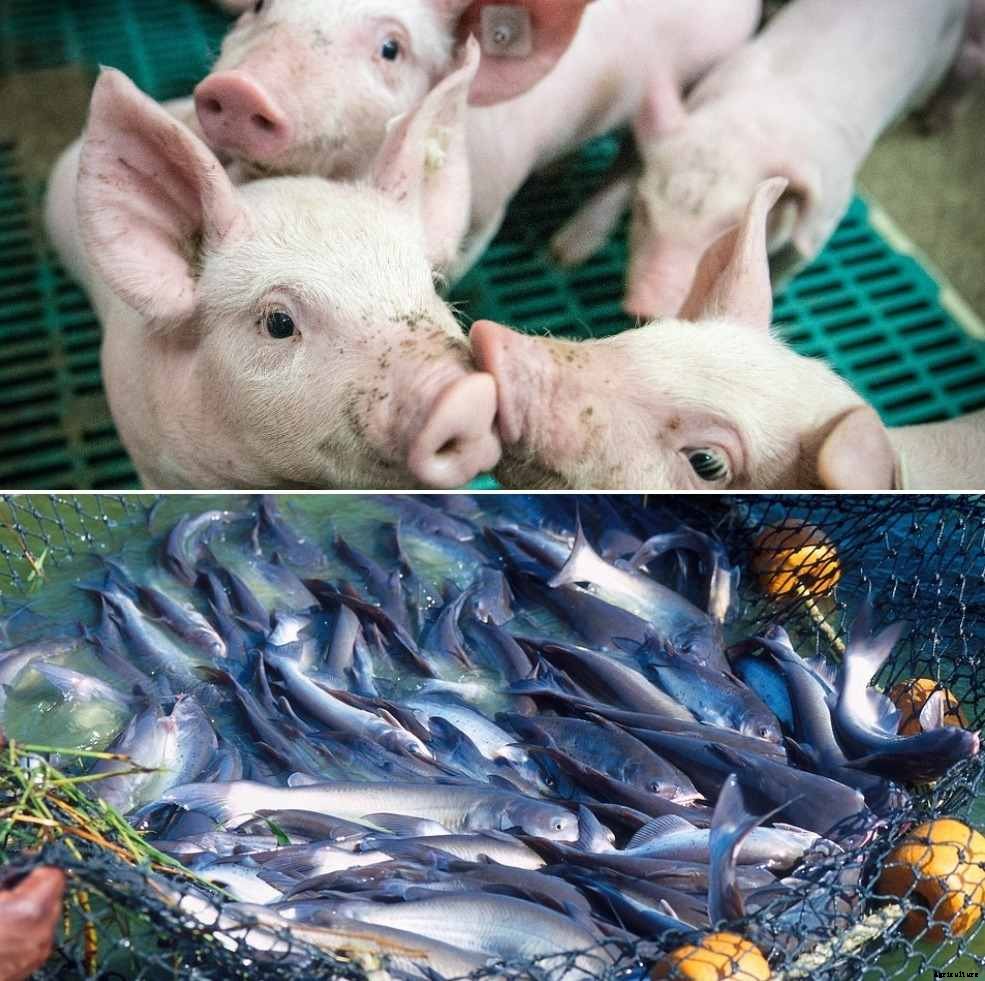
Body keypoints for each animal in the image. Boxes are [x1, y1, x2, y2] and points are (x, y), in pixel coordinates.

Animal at [189, 0, 762, 277]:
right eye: (260, 3)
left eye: (391, 48)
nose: (239, 89)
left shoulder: (490, 201)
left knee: (633, 159)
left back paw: (564, 253)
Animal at [551, 0, 969, 319]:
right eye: (642, 208)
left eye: (731, 229)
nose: (642, 306)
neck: (749, 128)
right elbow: (620, 176)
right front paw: (561, 256)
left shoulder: (827, 216)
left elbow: (792, 261)